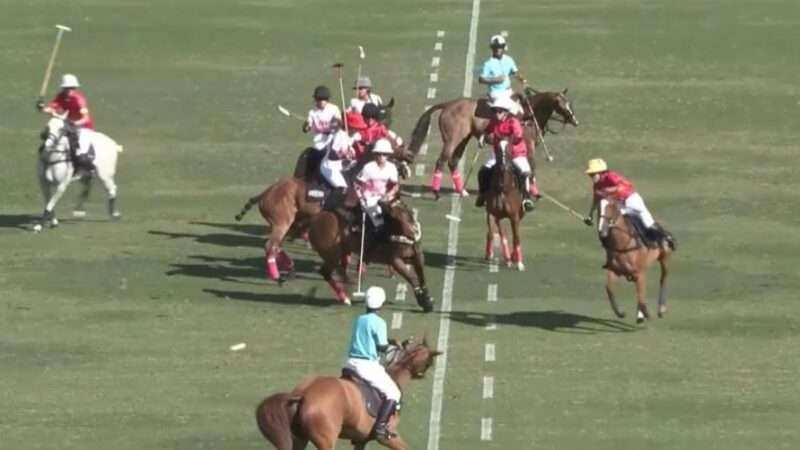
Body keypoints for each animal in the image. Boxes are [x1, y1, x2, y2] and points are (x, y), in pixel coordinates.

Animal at [256, 338, 440, 450]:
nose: (423, 375)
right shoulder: (388, 437)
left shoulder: (361, 439)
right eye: (429, 361)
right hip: (326, 441)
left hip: (300, 438)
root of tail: (303, 394)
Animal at [410, 89, 580, 198]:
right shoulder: (529, 146)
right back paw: (436, 192)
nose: (575, 121)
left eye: (570, 103)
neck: (530, 116)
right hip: (452, 139)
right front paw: (534, 192)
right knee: (442, 160)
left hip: (464, 138)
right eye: (563, 105)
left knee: (453, 161)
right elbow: (532, 168)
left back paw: (461, 191)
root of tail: (447, 105)